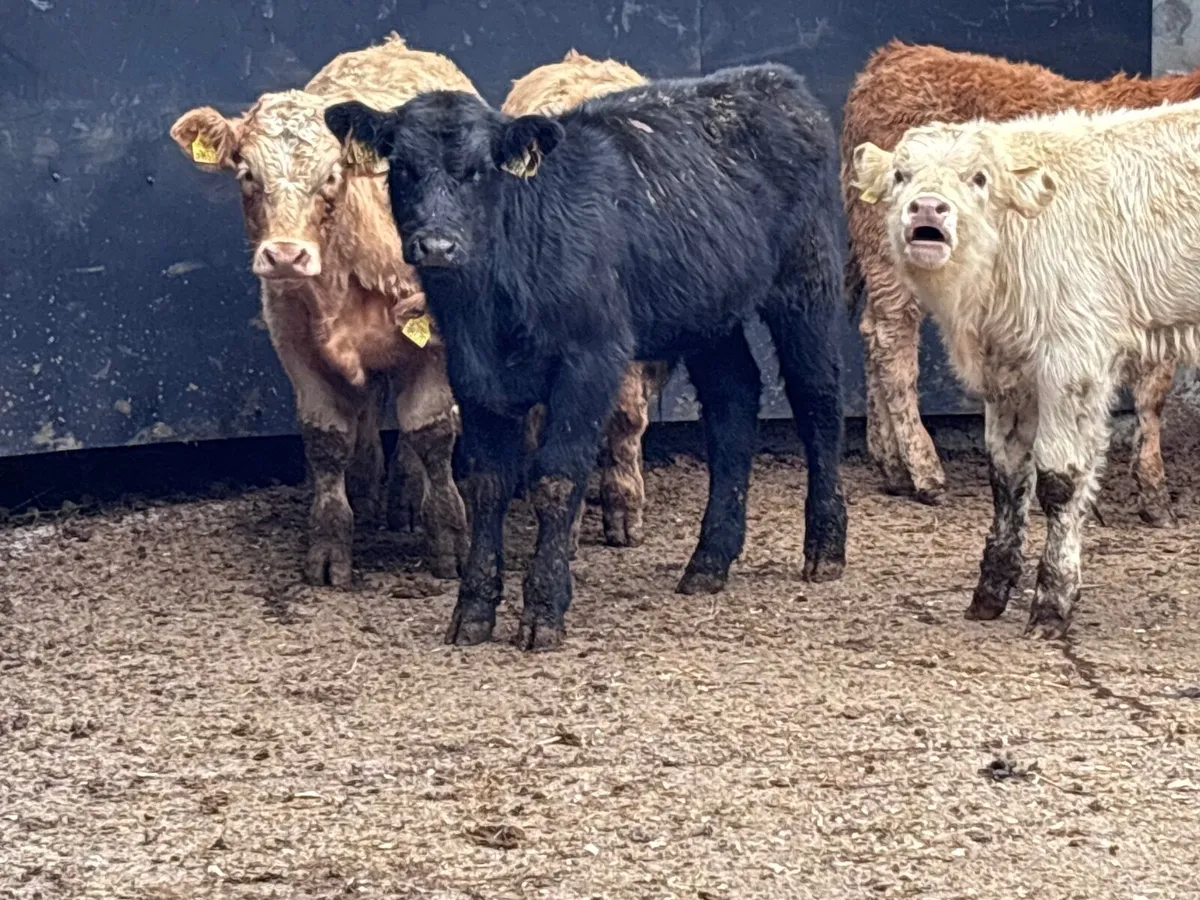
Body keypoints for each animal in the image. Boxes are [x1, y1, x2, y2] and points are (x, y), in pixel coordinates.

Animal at [169, 33, 470, 586]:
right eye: (246, 173)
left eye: (332, 175)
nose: (286, 255)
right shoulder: (297, 346)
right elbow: (327, 440)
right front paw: (331, 545)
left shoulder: (434, 344)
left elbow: (431, 433)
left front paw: (448, 538)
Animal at [841, 40, 1193, 524]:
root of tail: (896, 55)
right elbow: (1150, 392)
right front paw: (1152, 491)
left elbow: (1152, 394)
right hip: (893, 258)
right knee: (893, 347)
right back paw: (924, 470)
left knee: (872, 335)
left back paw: (891, 466)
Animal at [851, 95, 1200, 637]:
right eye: (901, 175)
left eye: (979, 177)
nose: (928, 207)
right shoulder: (1007, 372)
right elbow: (1007, 477)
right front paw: (990, 591)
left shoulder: (1074, 359)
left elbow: (1060, 481)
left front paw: (1053, 601)